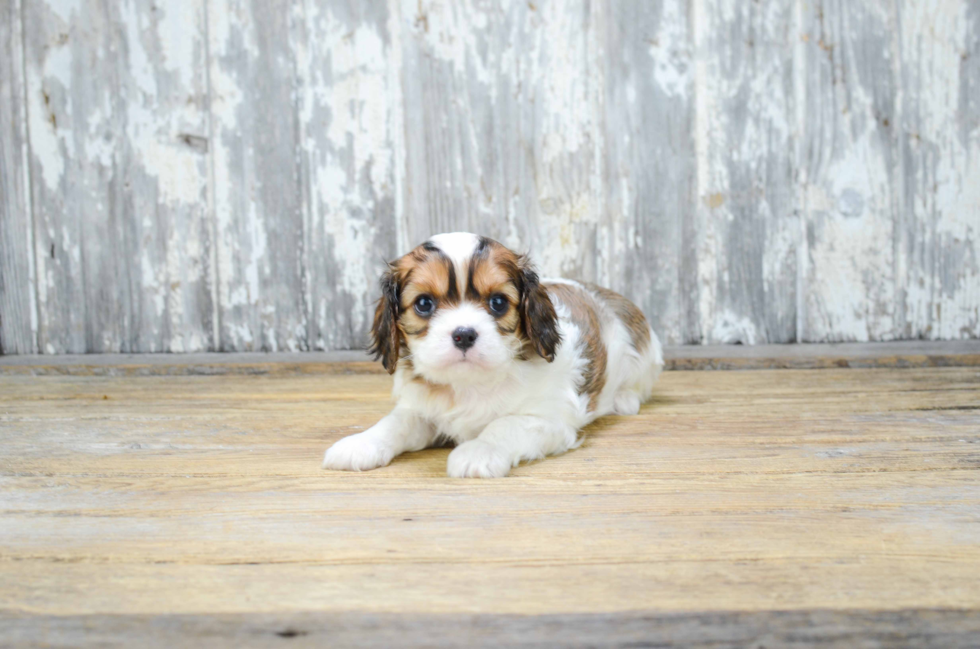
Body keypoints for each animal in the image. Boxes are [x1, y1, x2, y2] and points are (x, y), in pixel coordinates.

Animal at [326, 233, 664, 476]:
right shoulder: (421, 410)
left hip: (644, 359)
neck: (470, 384)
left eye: (498, 303)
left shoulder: (548, 419)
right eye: (423, 304)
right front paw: (361, 443)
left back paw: (625, 399)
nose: (464, 334)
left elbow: (503, 425)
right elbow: (396, 423)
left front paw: (479, 452)